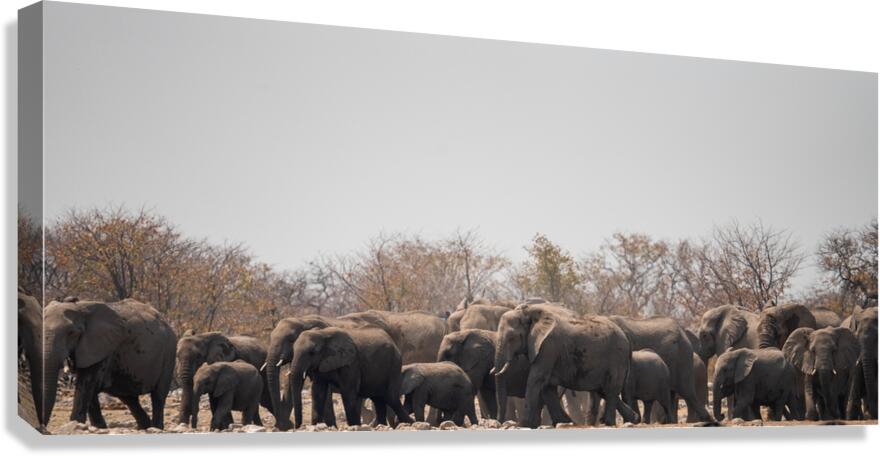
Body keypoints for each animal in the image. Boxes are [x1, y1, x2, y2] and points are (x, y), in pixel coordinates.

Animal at [41, 299, 177, 429]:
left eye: (71, 333)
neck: (80, 307)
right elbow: (89, 388)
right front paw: (99, 427)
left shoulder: (102, 348)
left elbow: (86, 384)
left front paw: (76, 424)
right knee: (130, 399)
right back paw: (145, 427)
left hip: (169, 353)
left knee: (158, 396)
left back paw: (156, 427)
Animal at [494, 303, 637, 428]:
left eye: (512, 338)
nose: (499, 423)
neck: (528, 312)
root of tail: (627, 338)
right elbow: (547, 386)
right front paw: (565, 422)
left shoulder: (548, 347)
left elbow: (536, 380)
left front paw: (524, 425)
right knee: (603, 390)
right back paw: (632, 418)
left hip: (617, 359)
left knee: (610, 390)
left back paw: (609, 423)